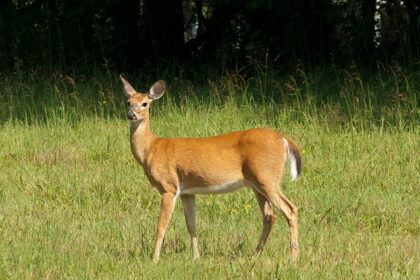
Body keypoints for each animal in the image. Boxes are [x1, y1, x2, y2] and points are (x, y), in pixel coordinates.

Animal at [119, 75, 302, 262]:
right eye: (128, 102)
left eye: (145, 103)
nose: (131, 115)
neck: (151, 148)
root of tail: (284, 139)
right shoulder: (187, 192)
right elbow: (191, 225)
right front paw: (196, 257)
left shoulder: (168, 187)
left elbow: (161, 225)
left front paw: (154, 259)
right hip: (257, 183)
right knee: (269, 215)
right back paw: (256, 254)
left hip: (267, 177)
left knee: (290, 209)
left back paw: (293, 257)